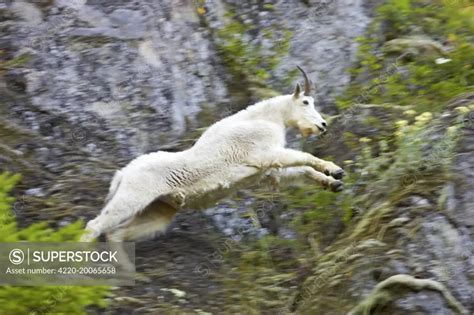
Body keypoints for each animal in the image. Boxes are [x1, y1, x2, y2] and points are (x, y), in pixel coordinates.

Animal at [81, 67, 344, 249]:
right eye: (306, 102)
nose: (323, 125)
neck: (268, 119)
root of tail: (123, 174)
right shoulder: (265, 154)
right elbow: (304, 157)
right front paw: (334, 169)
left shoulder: (266, 170)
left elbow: (300, 171)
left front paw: (334, 182)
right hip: (132, 197)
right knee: (95, 226)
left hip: (159, 210)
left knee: (117, 233)